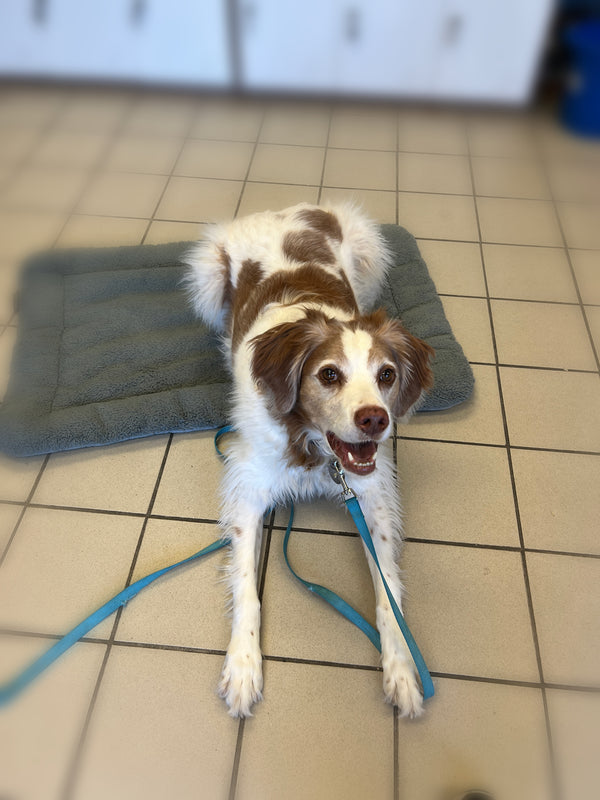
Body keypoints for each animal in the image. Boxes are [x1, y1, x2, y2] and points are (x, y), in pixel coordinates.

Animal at [185, 202, 434, 720]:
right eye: (329, 375)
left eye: (386, 374)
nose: (375, 420)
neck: (315, 450)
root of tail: (286, 209)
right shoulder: (247, 489)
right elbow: (246, 586)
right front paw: (243, 665)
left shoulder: (373, 497)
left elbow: (388, 590)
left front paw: (402, 667)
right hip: (206, 275)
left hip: (370, 252)